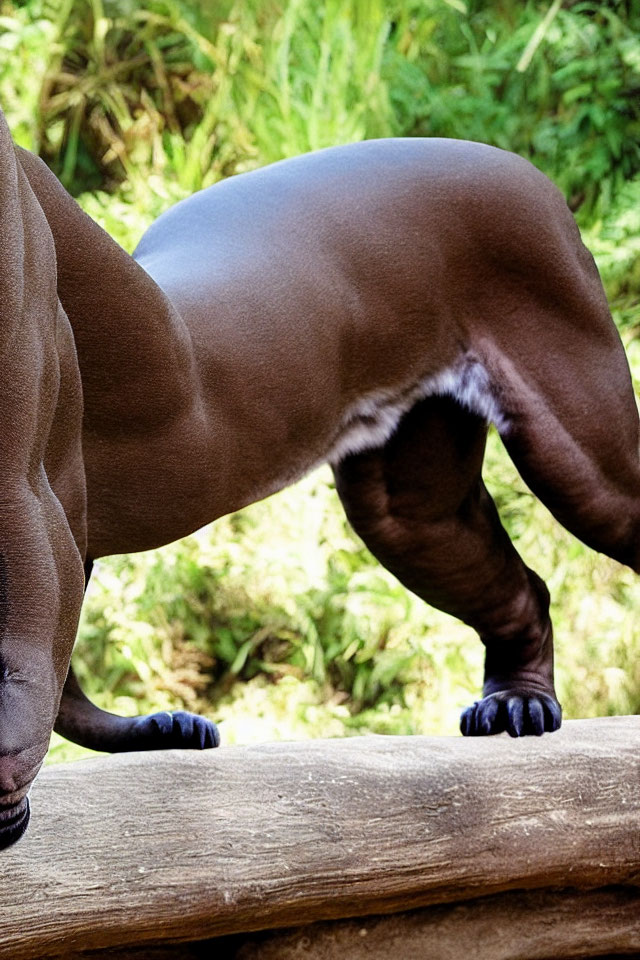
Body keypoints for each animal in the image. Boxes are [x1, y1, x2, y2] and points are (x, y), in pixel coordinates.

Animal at [1, 107, 640, 848]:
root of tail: (518, 166)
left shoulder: (26, 498)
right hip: (411, 509)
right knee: (523, 593)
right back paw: (515, 704)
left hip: (582, 450)